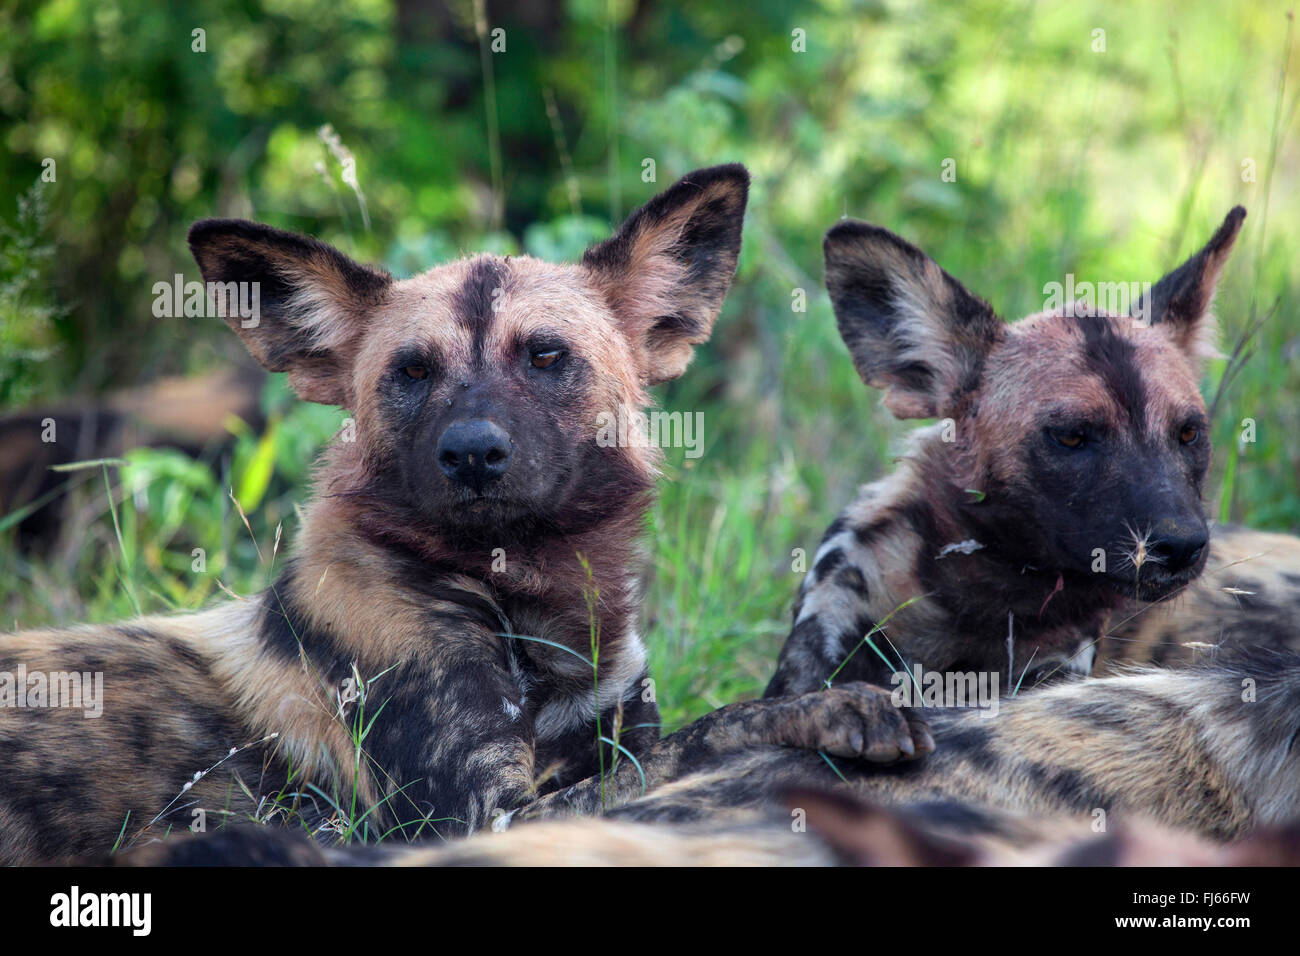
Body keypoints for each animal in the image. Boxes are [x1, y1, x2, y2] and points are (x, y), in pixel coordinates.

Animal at [0, 164, 935, 868]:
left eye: (546, 356)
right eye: (411, 372)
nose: (474, 452)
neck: (531, 597)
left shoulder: (611, 733)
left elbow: (681, 732)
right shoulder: (490, 818)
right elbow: (716, 728)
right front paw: (833, 707)